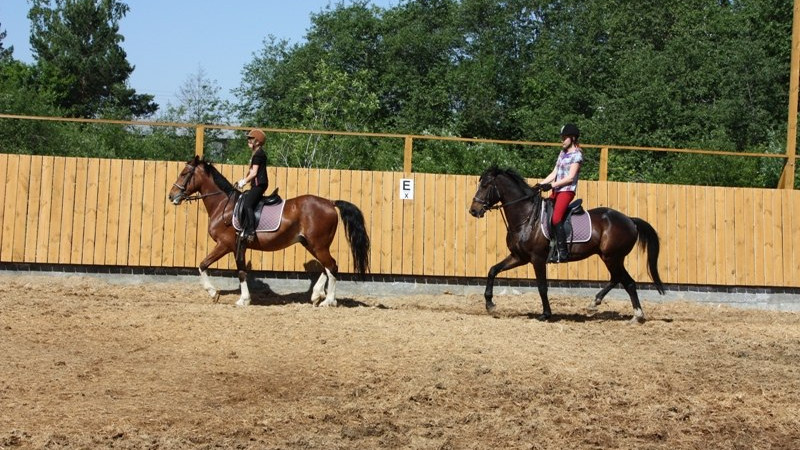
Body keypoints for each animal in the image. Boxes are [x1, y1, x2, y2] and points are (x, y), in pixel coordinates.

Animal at [168, 156, 372, 308]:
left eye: (184, 173)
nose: (171, 196)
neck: (224, 206)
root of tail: (330, 202)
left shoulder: (225, 244)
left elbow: (203, 265)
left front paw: (215, 293)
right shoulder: (239, 247)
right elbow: (241, 271)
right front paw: (243, 299)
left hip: (318, 244)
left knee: (332, 266)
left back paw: (328, 301)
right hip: (312, 244)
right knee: (327, 266)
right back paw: (317, 296)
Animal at [468, 166, 664, 324]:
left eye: (485, 186)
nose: (473, 211)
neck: (527, 217)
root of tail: (630, 220)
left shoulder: (537, 259)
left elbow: (542, 287)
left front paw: (546, 314)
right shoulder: (519, 257)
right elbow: (493, 270)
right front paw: (490, 304)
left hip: (612, 257)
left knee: (628, 282)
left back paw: (636, 315)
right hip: (609, 257)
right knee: (618, 279)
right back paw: (595, 303)